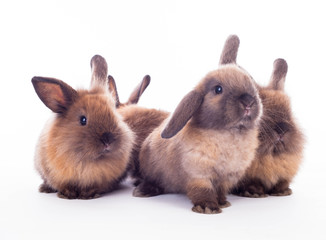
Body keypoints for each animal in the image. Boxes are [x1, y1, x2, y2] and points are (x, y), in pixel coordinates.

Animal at [32, 55, 134, 200]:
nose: (107, 140)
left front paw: (88, 195)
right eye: (83, 120)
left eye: (115, 114)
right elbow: (64, 185)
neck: (86, 162)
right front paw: (67, 195)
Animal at [132, 35, 262, 214]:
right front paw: (208, 208)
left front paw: (222, 202)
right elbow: (202, 191)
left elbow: (220, 190)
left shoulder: (226, 178)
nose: (248, 102)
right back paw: (143, 191)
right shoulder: (198, 174)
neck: (230, 133)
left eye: (251, 81)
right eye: (218, 89)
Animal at [230, 58, 304, 197]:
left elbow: (281, 183)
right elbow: (251, 184)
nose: (282, 130)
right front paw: (254, 193)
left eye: (290, 113)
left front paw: (283, 192)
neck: (271, 155)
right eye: (263, 113)